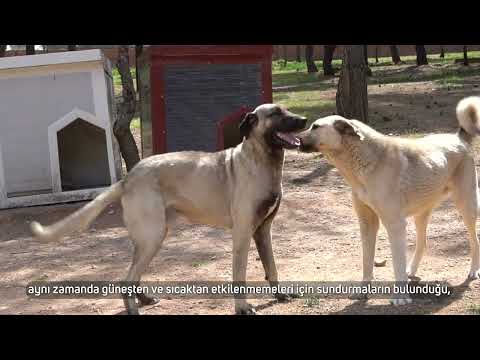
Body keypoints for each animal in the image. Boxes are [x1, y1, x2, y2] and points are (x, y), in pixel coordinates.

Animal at [31, 104, 308, 316]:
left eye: (286, 109)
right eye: (276, 113)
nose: (305, 120)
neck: (261, 160)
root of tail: (129, 177)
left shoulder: (263, 232)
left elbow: (272, 267)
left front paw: (280, 295)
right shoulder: (242, 235)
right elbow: (239, 275)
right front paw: (242, 307)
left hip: (150, 238)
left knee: (133, 274)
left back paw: (144, 299)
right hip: (152, 237)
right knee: (126, 278)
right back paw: (134, 308)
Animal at [298, 97, 480, 306]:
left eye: (315, 126)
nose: (296, 139)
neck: (366, 160)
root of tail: (460, 139)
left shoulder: (395, 224)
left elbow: (396, 262)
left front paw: (400, 297)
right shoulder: (367, 224)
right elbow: (367, 261)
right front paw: (363, 291)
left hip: (466, 207)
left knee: (475, 241)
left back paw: (473, 271)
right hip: (422, 214)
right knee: (423, 243)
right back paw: (412, 271)